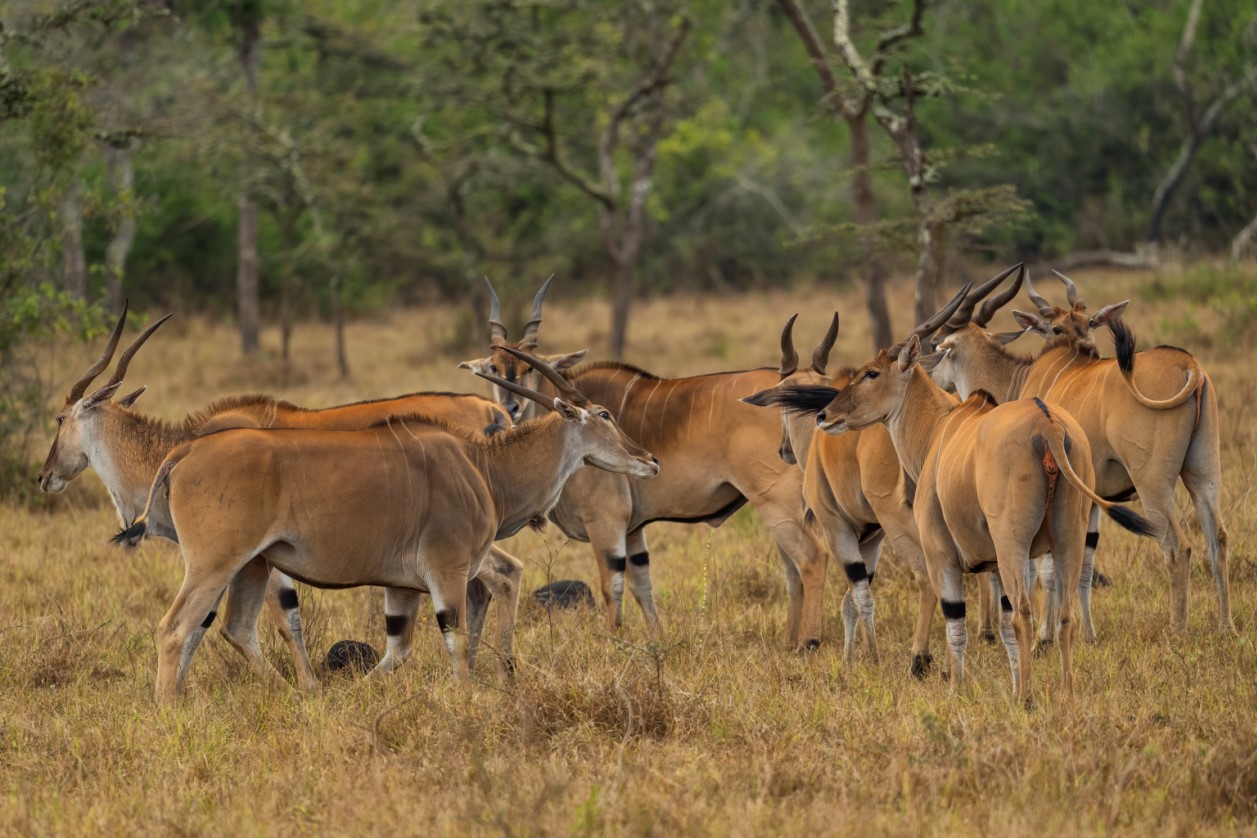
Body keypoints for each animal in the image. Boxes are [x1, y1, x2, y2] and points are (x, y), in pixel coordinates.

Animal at [36, 301, 520, 688]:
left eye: (59, 418)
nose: (45, 476)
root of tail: (491, 410)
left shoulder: (255, 558)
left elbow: (277, 622)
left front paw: (306, 687)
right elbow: (216, 625)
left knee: (503, 575)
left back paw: (498, 672)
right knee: (485, 587)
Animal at [118, 351, 663, 703]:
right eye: (605, 414)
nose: (650, 460)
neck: (481, 466)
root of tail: (186, 450)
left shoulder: (403, 587)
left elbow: (396, 652)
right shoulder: (446, 572)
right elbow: (455, 641)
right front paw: (469, 703)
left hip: (252, 565)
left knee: (236, 628)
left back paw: (302, 697)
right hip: (216, 563)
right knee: (174, 627)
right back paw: (169, 709)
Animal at [467, 293, 829, 648]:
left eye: (529, 367)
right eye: (494, 367)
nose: (510, 407)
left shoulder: (607, 524)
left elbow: (611, 588)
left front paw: (612, 646)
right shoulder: (632, 530)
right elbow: (643, 587)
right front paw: (658, 644)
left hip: (776, 504)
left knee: (812, 559)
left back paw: (808, 644)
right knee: (793, 571)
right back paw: (788, 643)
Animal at [930, 270, 1231, 635]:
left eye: (935, 347)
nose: (928, 374)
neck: (1019, 378)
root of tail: (1191, 367)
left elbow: (1044, 570)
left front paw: (1045, 635)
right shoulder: (1091, 500)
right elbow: (1082, 566)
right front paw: (1087, 633)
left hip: (1153, 483)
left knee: (1178, 546)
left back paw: (1177, 630)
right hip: (1204, 472)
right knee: (1218, 538)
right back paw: (1226, 627)